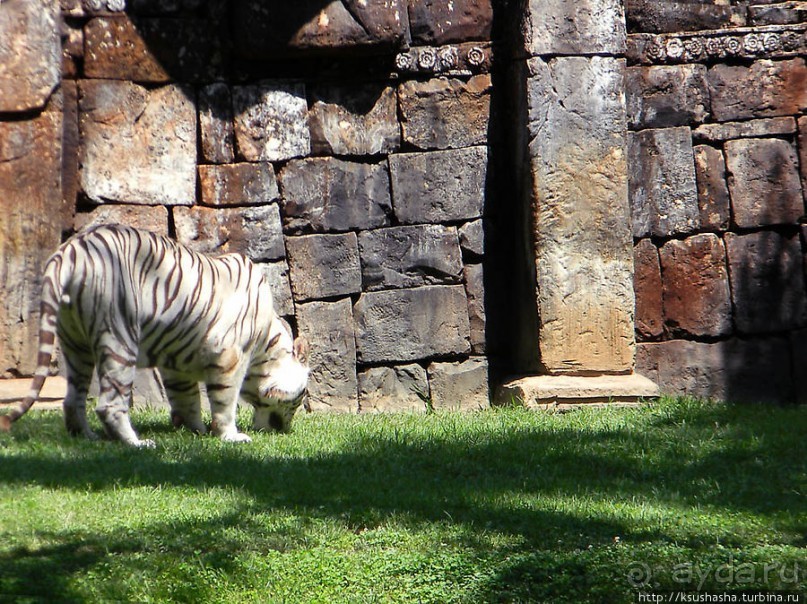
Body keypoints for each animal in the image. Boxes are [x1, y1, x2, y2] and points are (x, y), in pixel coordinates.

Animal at [0, 224, 310, 446]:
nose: (287, 429)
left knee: (73, 397)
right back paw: (136, 443)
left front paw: (194, 430)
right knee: (109, 404)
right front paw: (230, 436)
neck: (266, 343)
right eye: (301, 396)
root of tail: (70, 250)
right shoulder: (228, 357)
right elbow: (225, 401)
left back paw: (87, 437)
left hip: (75, 343)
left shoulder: (177, 364)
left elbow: (187, 399)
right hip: (120, 337)